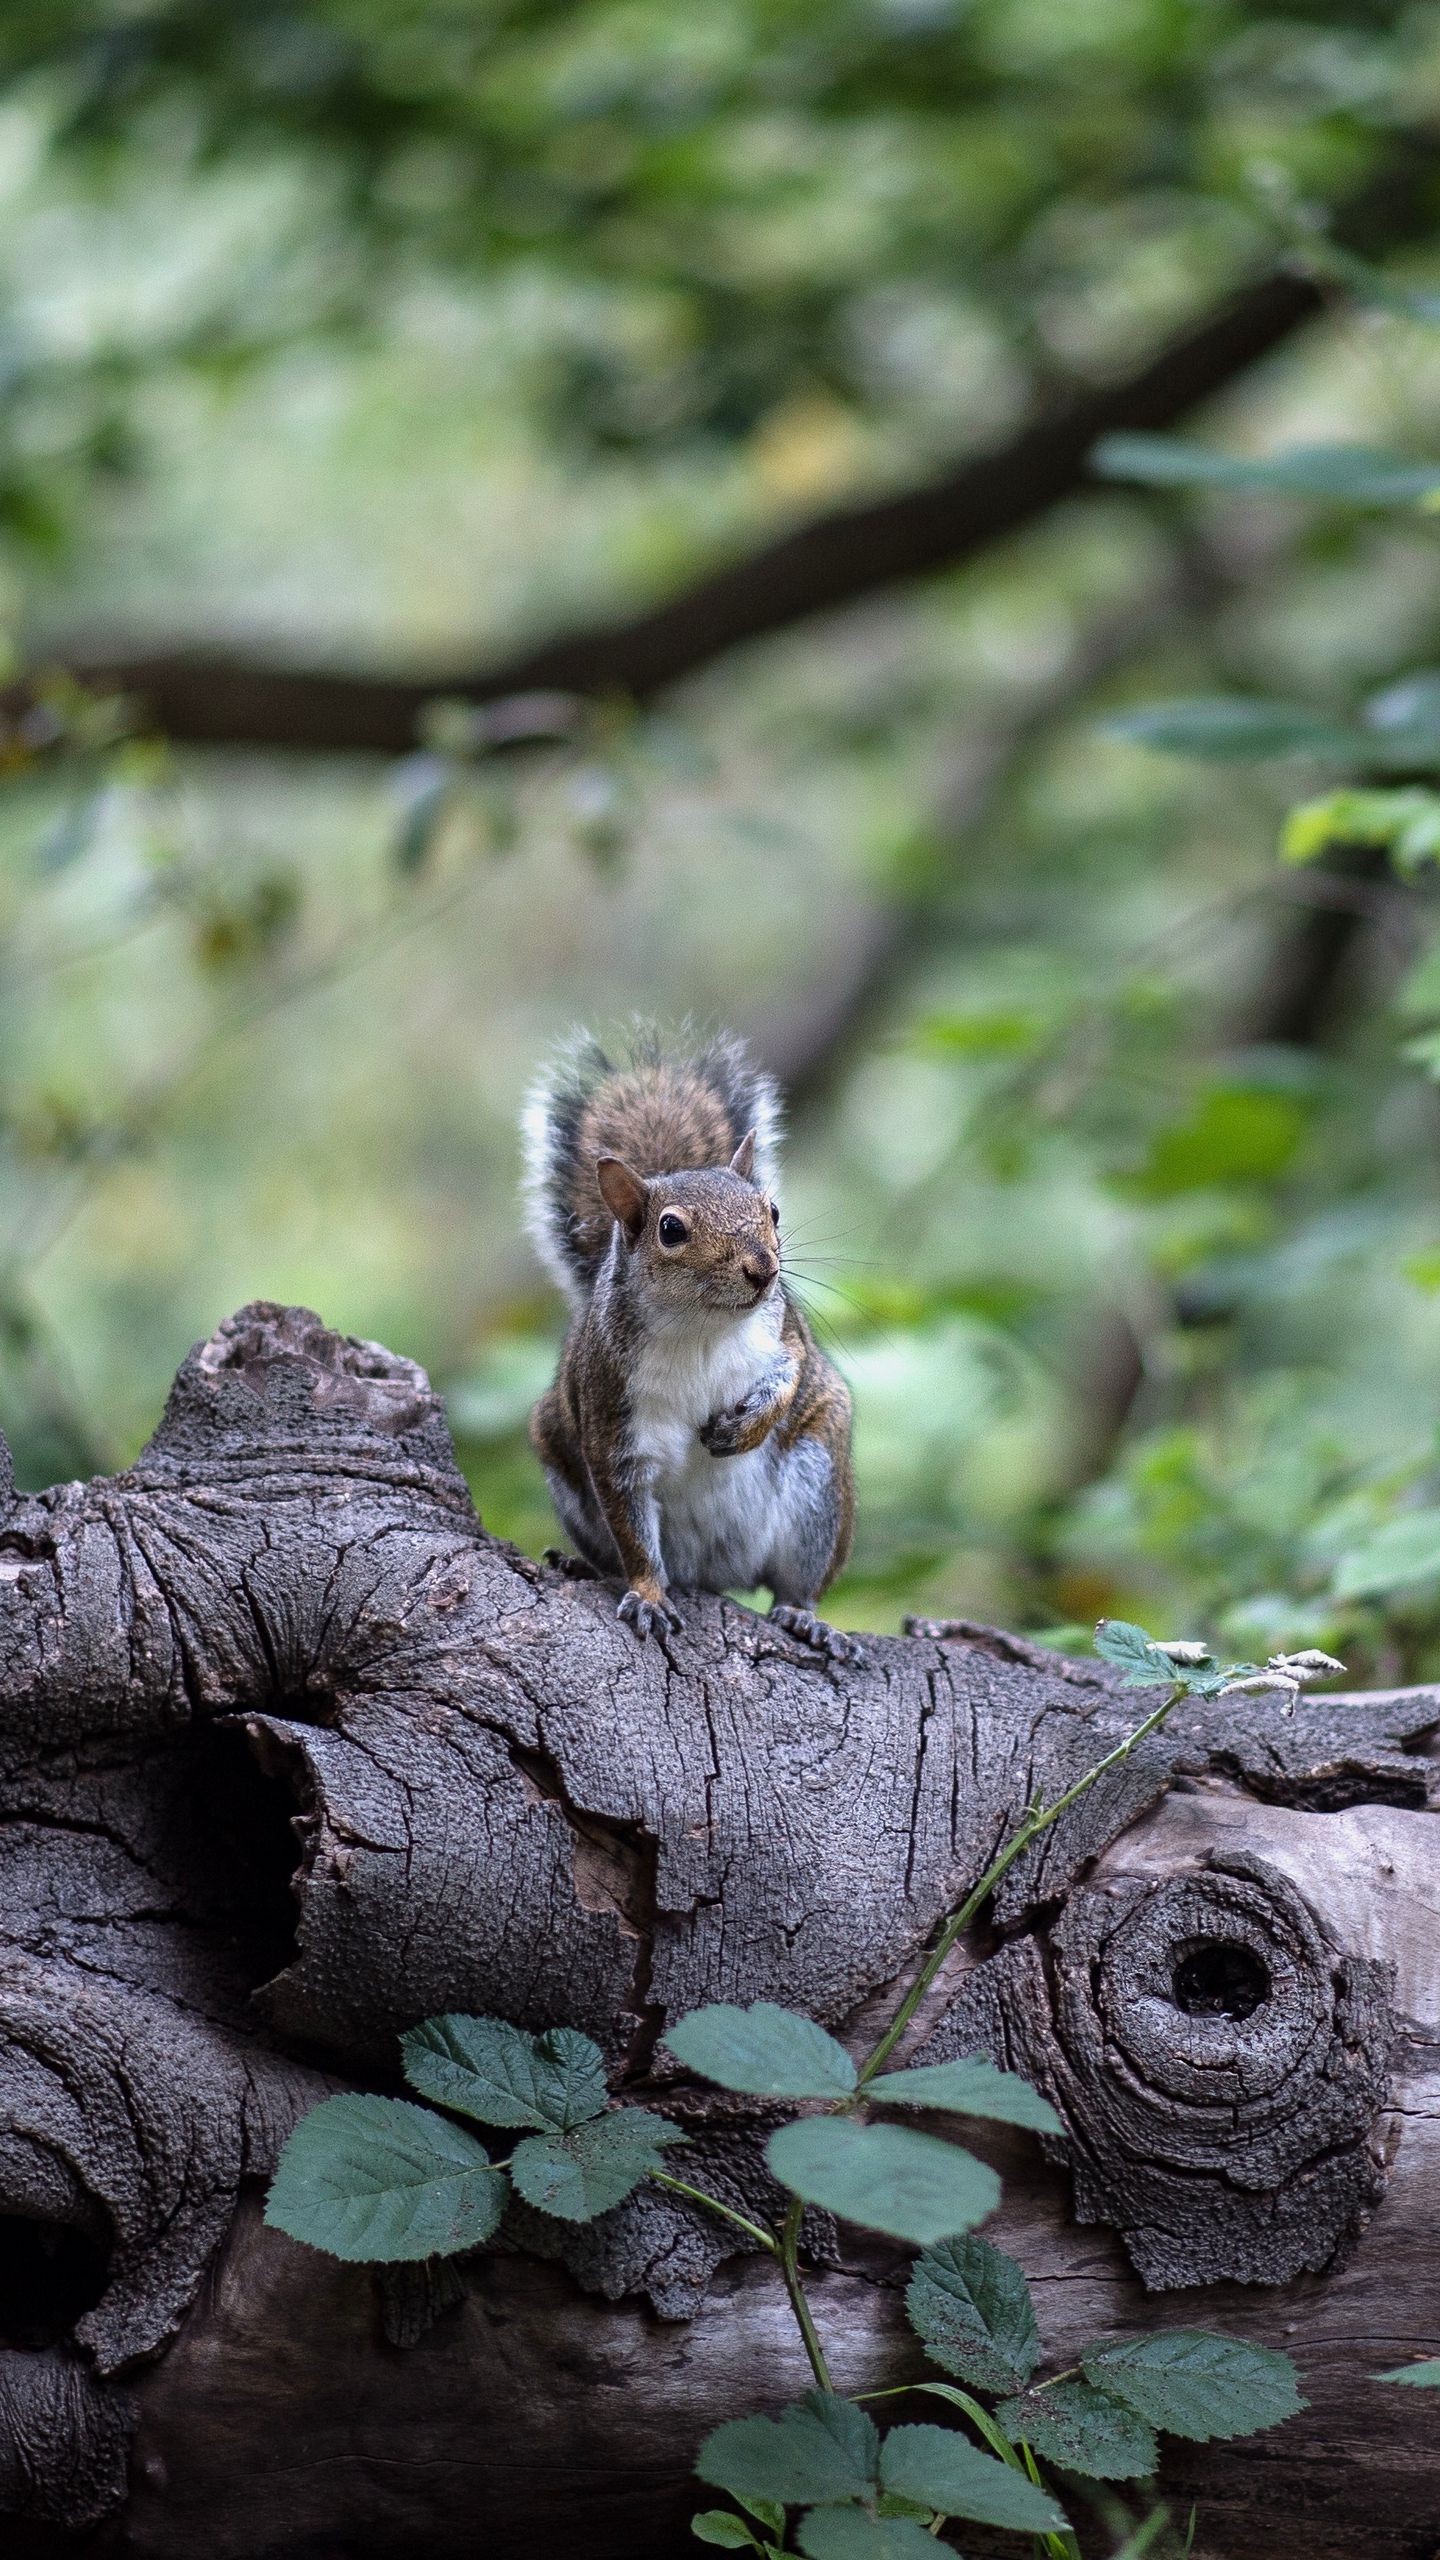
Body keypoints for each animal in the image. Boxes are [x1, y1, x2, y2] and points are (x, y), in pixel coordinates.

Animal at [517, 1029, 850, 1669]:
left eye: (773, 1211)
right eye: (671, 1230)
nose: (764, 1269)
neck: (701, 1328)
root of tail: (715, 1572)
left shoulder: (784, 1332)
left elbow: (792, 1373)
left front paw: (742, 1429)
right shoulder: (612, 1420)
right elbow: (633, 1535)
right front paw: (648, 1596)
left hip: (819, 1484)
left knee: (798, 1583)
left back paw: (806, 1618)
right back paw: (586, 1565)